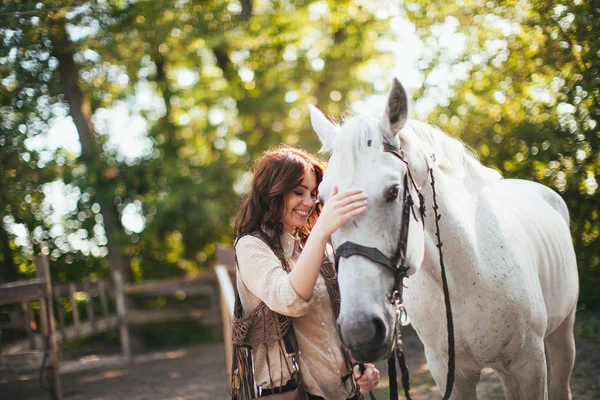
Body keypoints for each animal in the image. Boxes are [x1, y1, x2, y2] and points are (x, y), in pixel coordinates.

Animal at [310, 79, 576, 400]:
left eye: (394, 192)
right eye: (322, 201)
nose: (359, 331)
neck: (470, 276)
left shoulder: (531, 365)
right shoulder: (450, 372)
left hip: (562, 335)